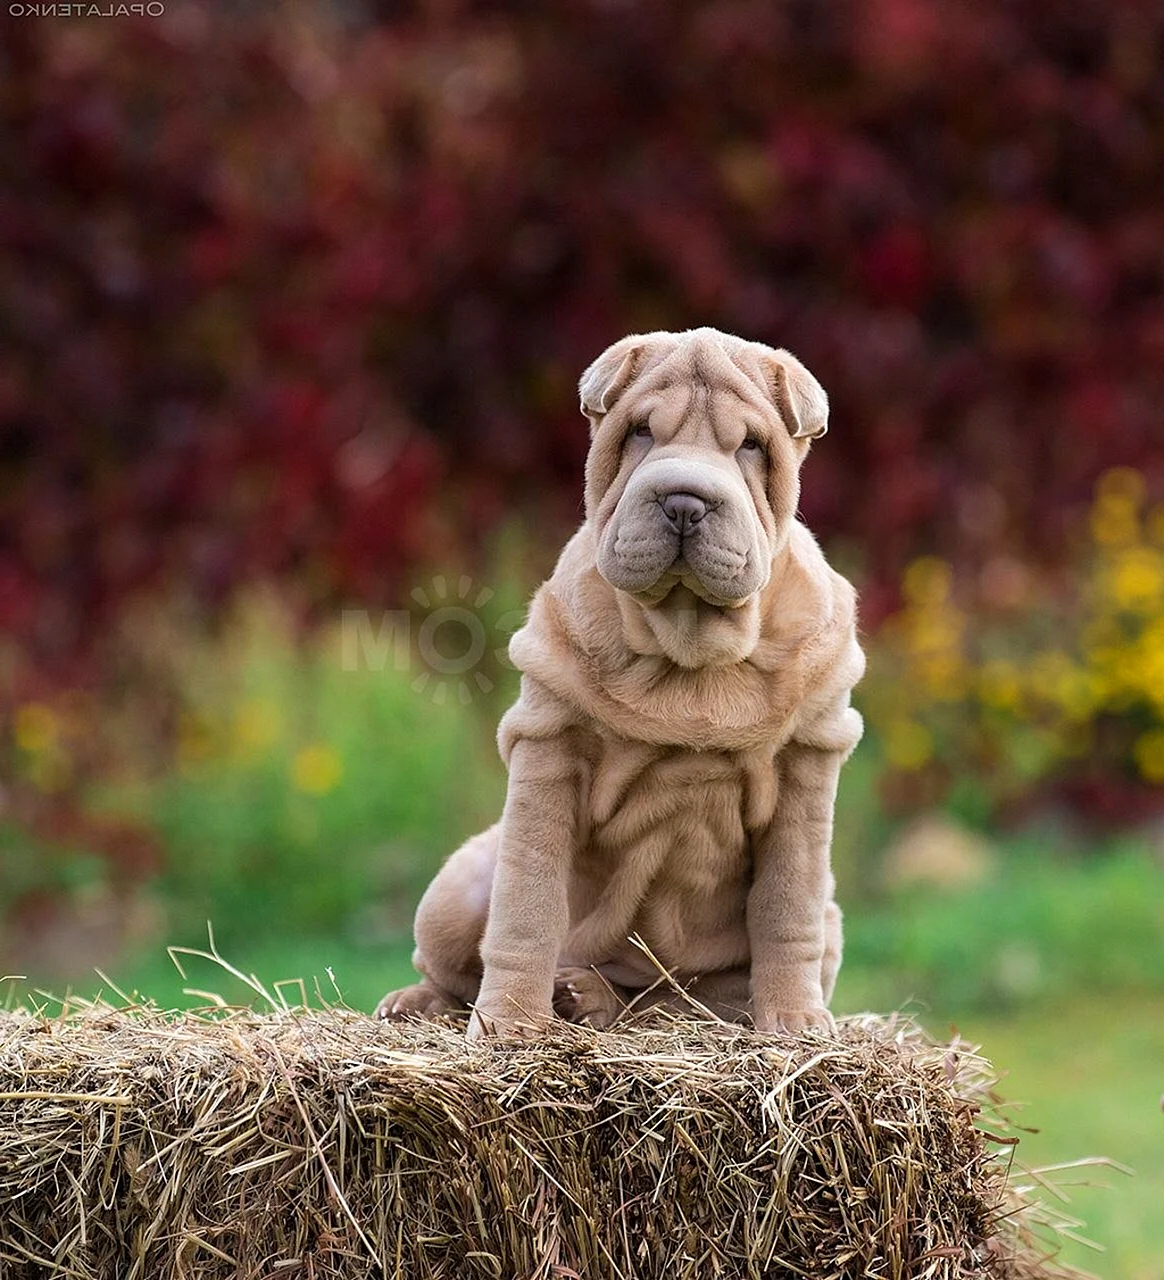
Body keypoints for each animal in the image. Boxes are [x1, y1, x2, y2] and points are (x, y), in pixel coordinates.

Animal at [376, 325, 860, 1034]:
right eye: (639, 433)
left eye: (750, 445)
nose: (684, 500)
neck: (686, 645)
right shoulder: (549, 744)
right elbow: (527, 903)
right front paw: (509, 1024)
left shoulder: (809, 760)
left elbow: (785, 907)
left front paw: (796, 1024)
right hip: (456, 886)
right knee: (455, 962)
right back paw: (427, 1004)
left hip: (817, 921)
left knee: (685, 1000)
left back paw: (594, 995)